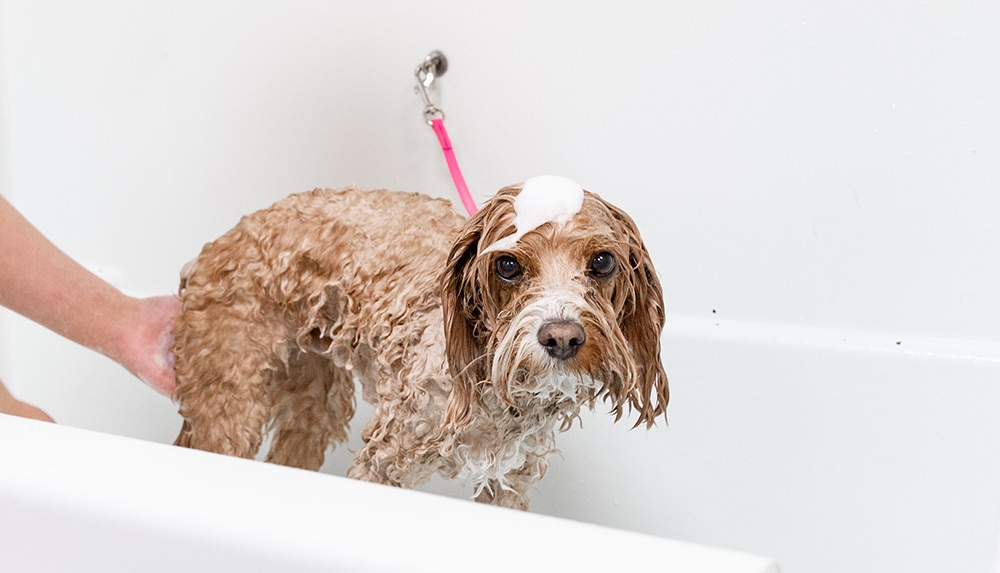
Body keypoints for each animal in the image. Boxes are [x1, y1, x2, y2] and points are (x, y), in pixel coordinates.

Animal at [173, 177, 668, 508]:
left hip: (314, 400)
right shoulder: (385, 461)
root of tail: (219, 241)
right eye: (507, 265)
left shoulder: (511, 481)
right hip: (230, 400)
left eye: (602, 262)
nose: (561, 336)